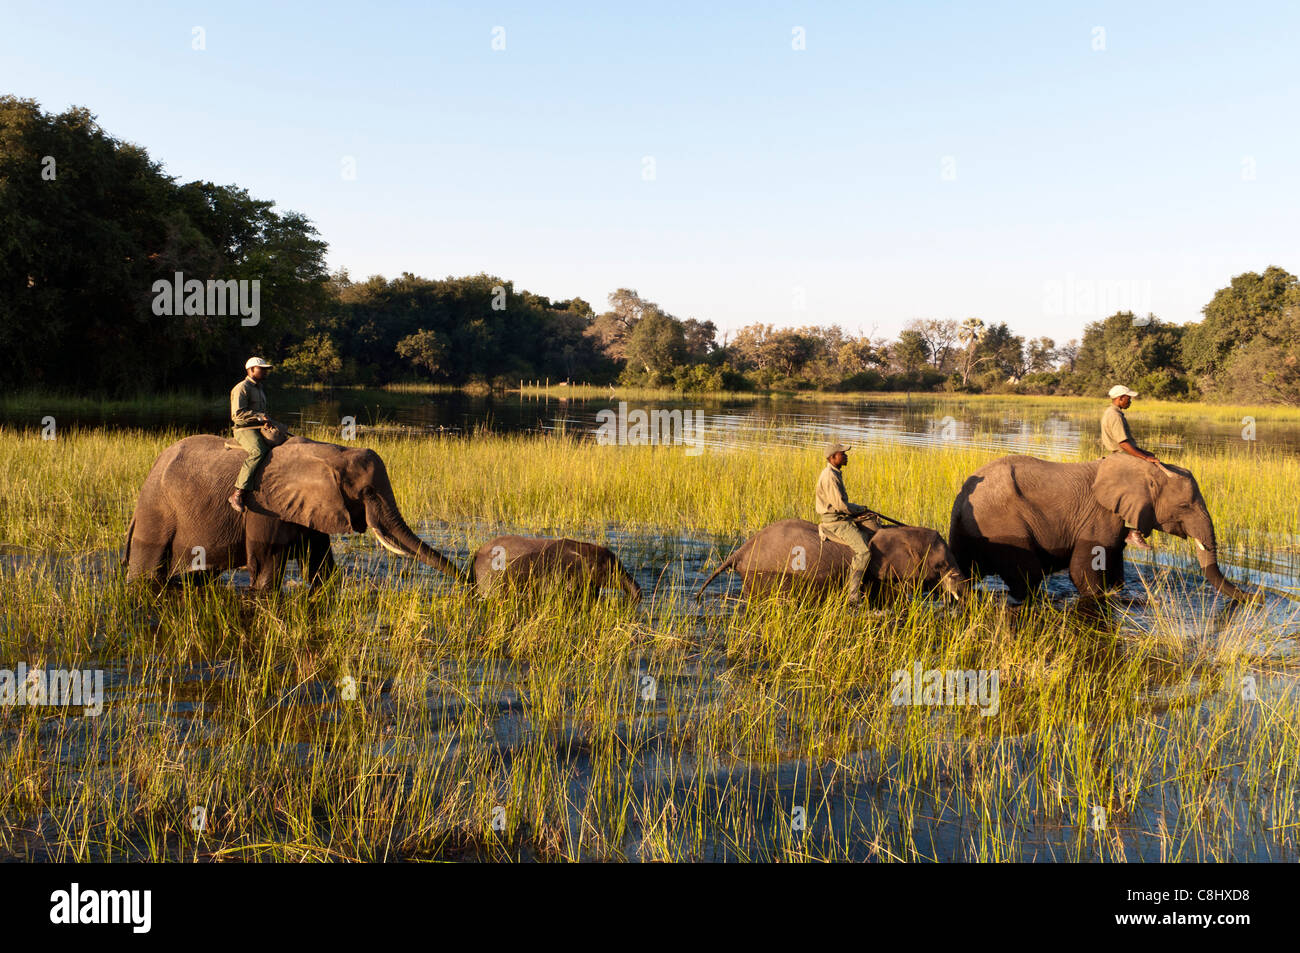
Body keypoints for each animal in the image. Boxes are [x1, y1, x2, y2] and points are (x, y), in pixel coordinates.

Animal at [122, 434, 467, 587]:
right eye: (368, 492)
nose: (471, 586)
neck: (328, 451)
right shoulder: (263, 507)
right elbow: (265, 572)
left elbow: (322, 569)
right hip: (156, 510)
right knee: (145, 572)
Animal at [946, 452, 1248, 603]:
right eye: (1185, 505)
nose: (1251, 598)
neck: (1145, 469)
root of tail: (960, 499)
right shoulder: (1100, 514)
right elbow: (1083, 570)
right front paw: (1100, 597)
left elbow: (1113, 563)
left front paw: (1116, 592)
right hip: (1002, 523)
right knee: (1027, 579)